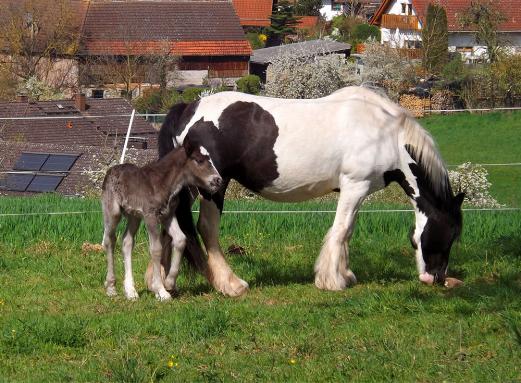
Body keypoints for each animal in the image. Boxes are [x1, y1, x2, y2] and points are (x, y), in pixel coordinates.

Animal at [101, 136, 221, 302]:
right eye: (199, 160)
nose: (218, 180)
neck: (162, 182)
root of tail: (110, 170)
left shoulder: (168, 215)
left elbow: (180, 239)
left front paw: (170, 283)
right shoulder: (151, 216)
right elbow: (156, 248)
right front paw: (161, 290)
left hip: (134, 216)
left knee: (127, 242)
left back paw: (130, 291)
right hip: (113, 212)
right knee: (109, 240)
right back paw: (111, 287)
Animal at [155, 86, 464, 296]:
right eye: (449, 234)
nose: (435, 278)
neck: (384, 132)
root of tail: (189, 108)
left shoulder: (357, 191)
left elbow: (348, 231)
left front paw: (345, 275)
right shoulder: (355, 185)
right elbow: (340, 230)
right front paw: (332, 280)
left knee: (172, 228)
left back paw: (166, 284)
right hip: (212, 188)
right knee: (207, 229)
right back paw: (230, 284)